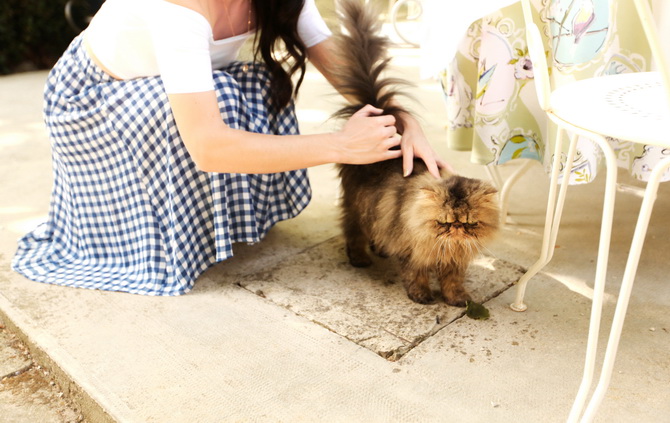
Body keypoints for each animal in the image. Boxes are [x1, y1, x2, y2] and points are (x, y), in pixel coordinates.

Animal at [334, 0, 502, 304]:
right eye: (443, 223)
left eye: (470, 224)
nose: (456, 229)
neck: (447, 245)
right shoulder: (412, 252)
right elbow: (416, 275)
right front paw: (422, 296)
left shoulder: (455, 261)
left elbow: (453, 281)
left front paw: (457, 299)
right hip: (356, 207)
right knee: (353, 232)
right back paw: (360, 258)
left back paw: (379, 248)